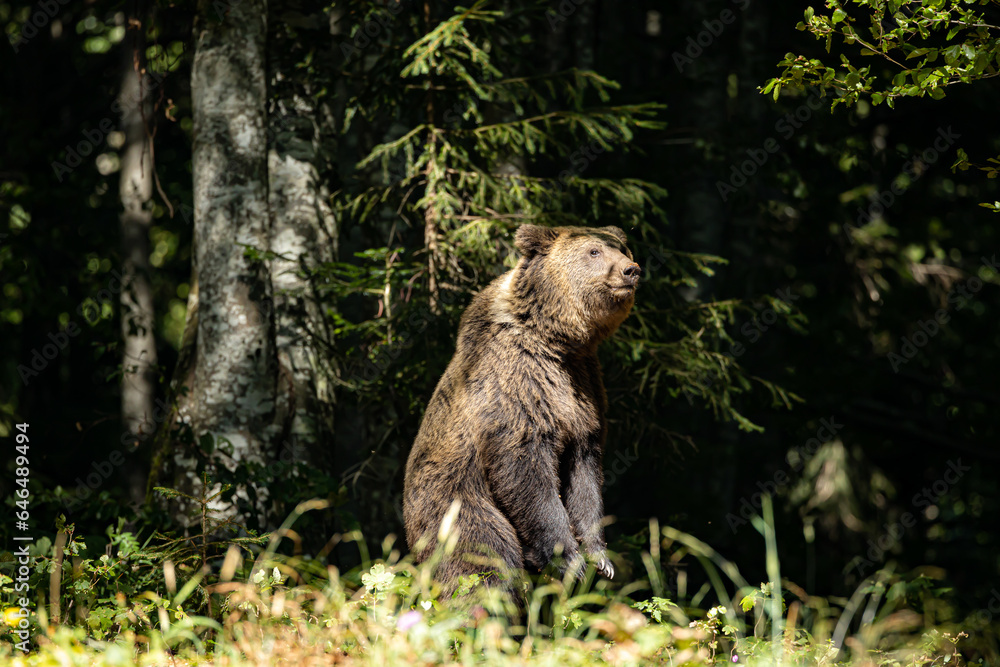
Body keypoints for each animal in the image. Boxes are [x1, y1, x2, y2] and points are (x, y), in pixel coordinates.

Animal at [403, 224, 641, 597]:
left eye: (620, 247)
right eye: (593, 251)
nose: (631, 269)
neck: (558, 339)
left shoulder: (583, 388)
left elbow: (585, 471)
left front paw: (600, 557)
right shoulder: (519, 383)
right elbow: (525, 471)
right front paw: (569, 556)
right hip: (456, 502)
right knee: (483, 563)